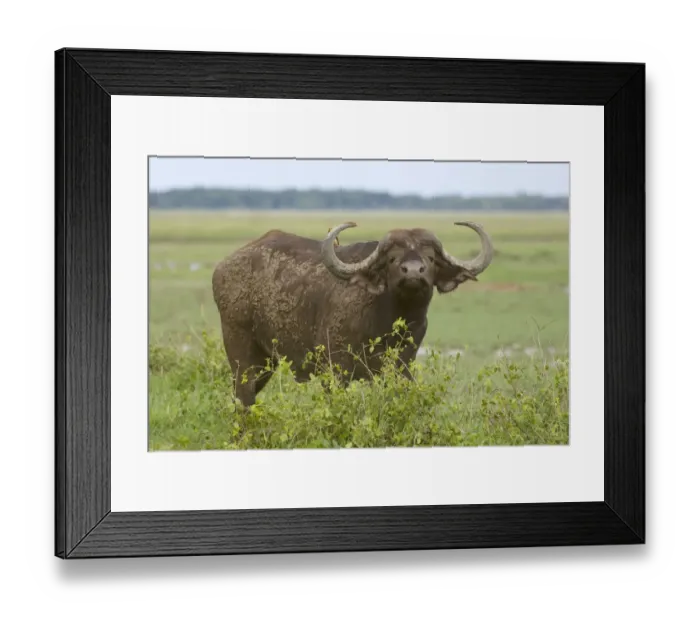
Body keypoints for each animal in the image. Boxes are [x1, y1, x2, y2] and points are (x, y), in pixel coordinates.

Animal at [212, 221, 494, 408]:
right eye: (392, 259)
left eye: (431, 258)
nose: (413, 272)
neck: (385, 320)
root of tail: (222, 268)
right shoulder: (336, 371)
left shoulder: (403, 366)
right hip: (241, 354)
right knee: (244, 398)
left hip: (265, 362)